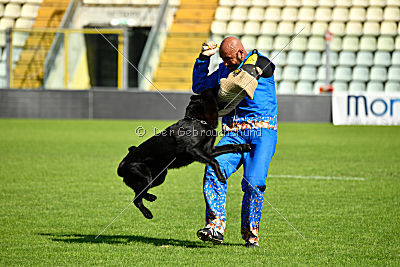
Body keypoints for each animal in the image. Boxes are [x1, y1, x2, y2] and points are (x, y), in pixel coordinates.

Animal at [117, 89, 252, 221]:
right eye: (217, 92)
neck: (198, 121)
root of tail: (121, 166)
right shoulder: (193, 150)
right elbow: (214, 161)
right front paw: (220, 176)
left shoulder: (209, 150)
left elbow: (229, 147)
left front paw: (244, 146)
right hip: (146, 177)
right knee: (137, 198)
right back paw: (148, 212)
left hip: (159, 177)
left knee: (138, 194)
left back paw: (150, 198)